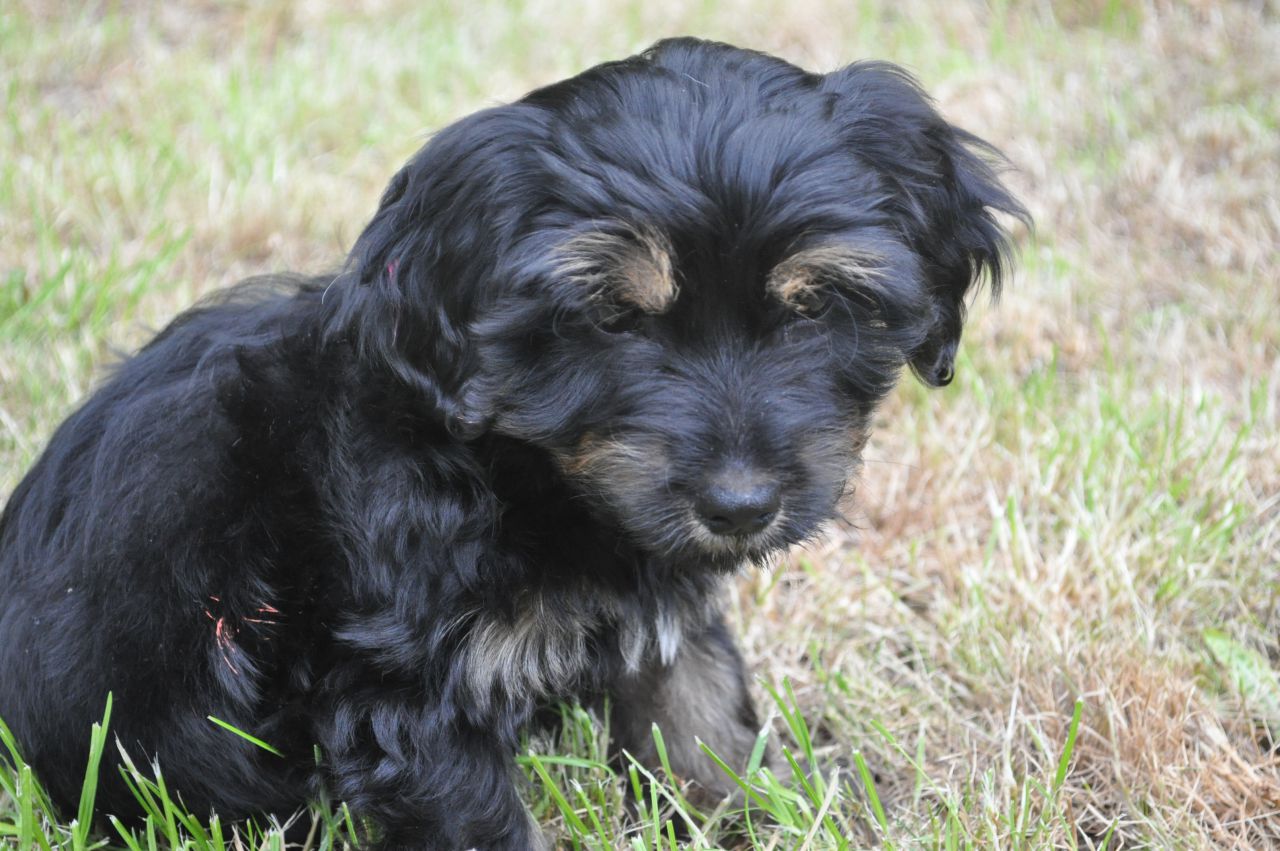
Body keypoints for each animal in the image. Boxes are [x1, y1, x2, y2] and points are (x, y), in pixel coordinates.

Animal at [0, 37, 1025, 850]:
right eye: (612, 319)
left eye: (812, 308)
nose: (739, 505)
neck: (515, 469)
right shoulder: (407, 688)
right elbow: (480, 816)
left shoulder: (659, 617)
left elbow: (702, 721)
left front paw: (751, 814)